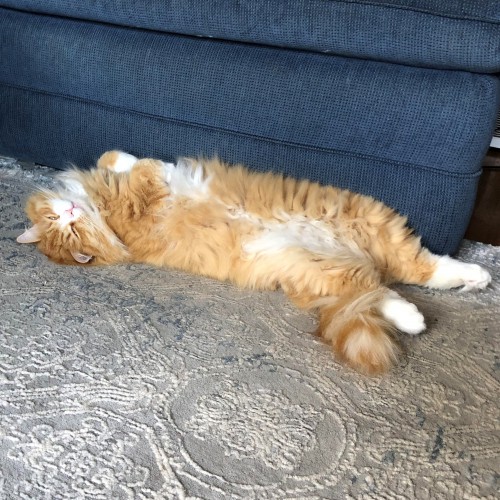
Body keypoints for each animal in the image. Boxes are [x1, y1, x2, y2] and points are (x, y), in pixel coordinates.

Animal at [17, 152, 490, 376]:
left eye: (63, 225)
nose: (70, 212)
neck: (109, 221)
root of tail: (353, 253)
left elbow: (115, 158)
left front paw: (125, 162)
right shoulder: (142, 201)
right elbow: (145, 171)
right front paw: (150, 165)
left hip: (364, 229)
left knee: (410, 274)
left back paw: (473, 278)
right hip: (326, 268)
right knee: (390, 289)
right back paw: (424, 312)